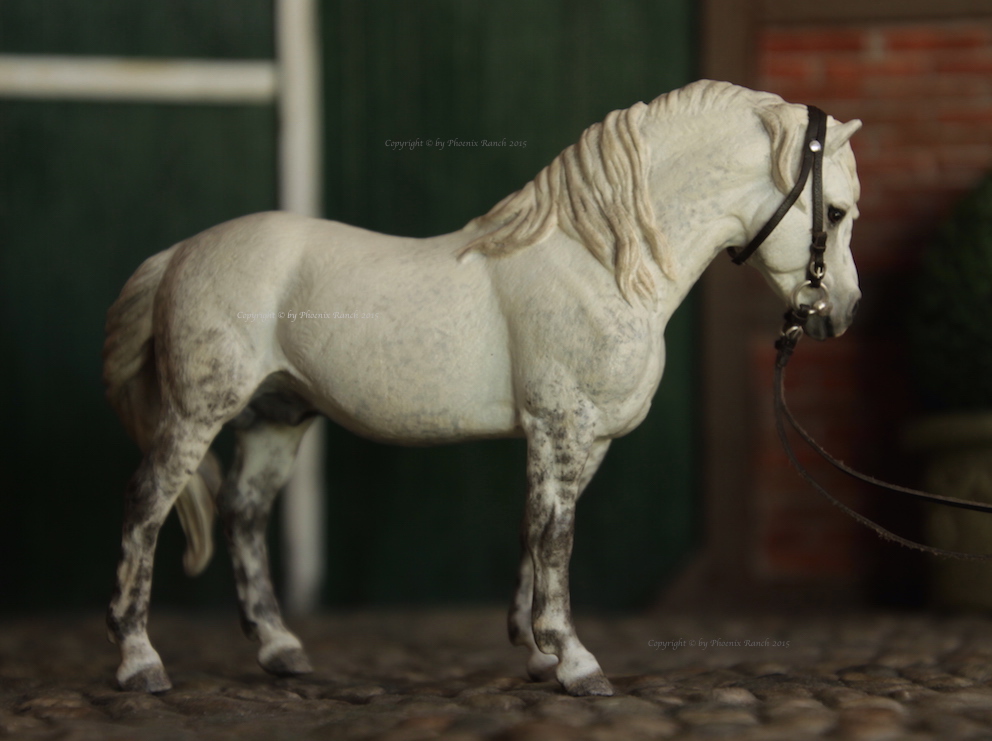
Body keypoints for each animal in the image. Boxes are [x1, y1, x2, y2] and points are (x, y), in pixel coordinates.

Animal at [102, 79, 860, 692]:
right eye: (838, 212)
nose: (841, 314)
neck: (599, 263)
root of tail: (181, 253)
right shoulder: (561, 426)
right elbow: (557, 539)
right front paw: (576, 663)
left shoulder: (585, 440)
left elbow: (534, 530)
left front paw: (539, 654)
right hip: (199, 410)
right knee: (146, 505)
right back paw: (140, 662)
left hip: (275, 417)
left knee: (242, 514)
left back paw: (279, 649)